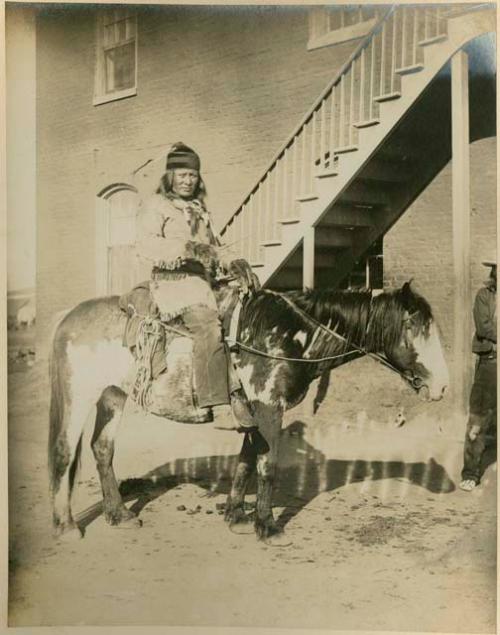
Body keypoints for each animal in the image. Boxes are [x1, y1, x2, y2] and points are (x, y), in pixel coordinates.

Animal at [48, 282, 450, 540]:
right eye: (414, 326)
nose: (443, 386)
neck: (287, 334)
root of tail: (67, 316)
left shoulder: (255, 410)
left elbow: (245, 460)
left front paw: (237, 516)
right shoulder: (270, 406)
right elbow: (267, 466)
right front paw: (268, 526)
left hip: (112, 395)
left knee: (102, 449)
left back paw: (120, 515)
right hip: (80, 396)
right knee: (64, 453)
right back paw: (66, 527)